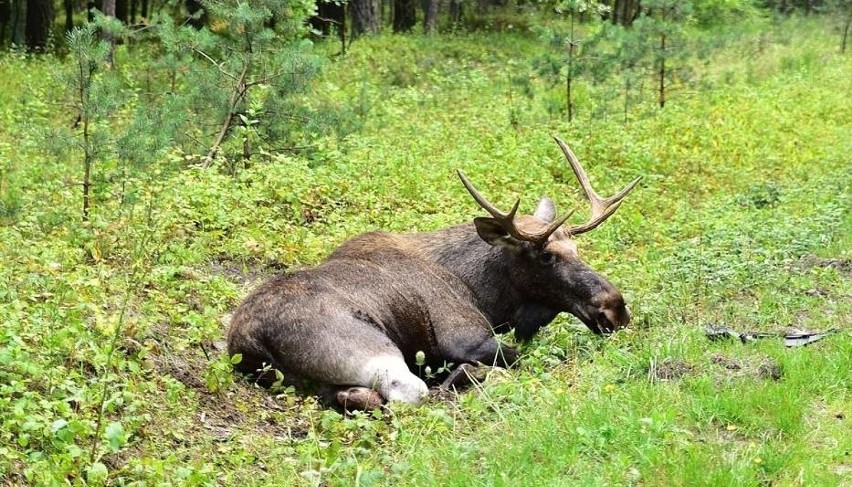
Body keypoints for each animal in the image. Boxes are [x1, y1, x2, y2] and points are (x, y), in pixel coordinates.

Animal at [226, 137, 640, 408]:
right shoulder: (470, 338)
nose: (614, 308)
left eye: (576, 249)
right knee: (413, 393)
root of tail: (249, 340)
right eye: (545, 256)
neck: (484, 293)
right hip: (372, 349)